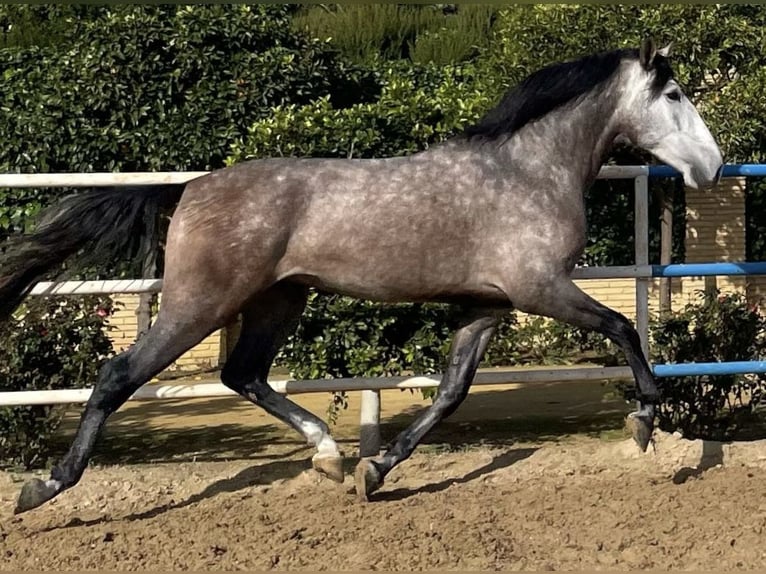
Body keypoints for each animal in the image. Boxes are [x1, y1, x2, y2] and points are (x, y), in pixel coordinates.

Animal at [0, 38, 724, 516]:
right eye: (674, 94)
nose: (712, 166)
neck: (527, 171)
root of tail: (189, 188)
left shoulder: (485, 308)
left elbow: (450, 394)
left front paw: (374, 470)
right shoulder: (538, 289)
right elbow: (623, 327)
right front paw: (644, 420)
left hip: (278, 301)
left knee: (242, 374)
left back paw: (328, 455)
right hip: (199, 304)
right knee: (118, 375)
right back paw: (45, 486)